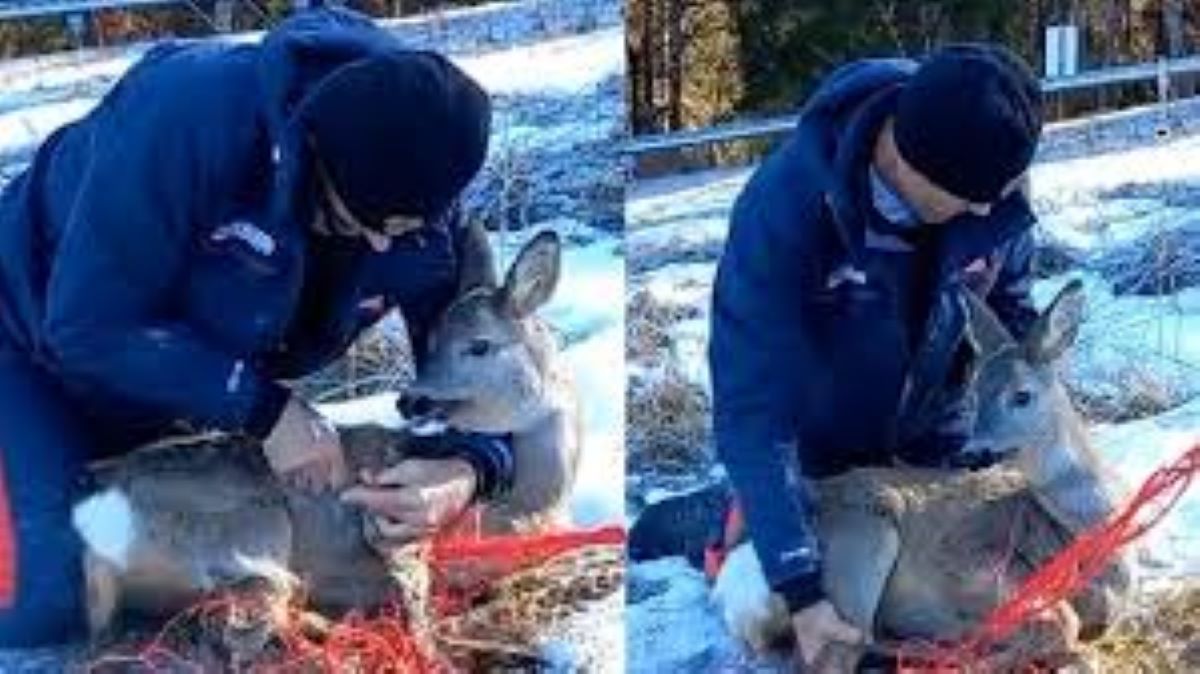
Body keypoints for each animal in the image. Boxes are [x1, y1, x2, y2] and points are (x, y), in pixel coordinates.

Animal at [73, 223, 580, 642]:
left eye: (479, 346)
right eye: (432, 341)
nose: (409, 400)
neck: (525, 505)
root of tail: (94, 515)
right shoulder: (395, 528)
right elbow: (416, 599)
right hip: (249, 524)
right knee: (254, 615)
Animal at [715, 278, 1128, 666]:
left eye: (1022, 396)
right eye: (974, 395)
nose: (970, 451)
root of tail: (730, 577)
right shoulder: (966, 564)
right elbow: (1062, 623)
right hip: (862, 544)